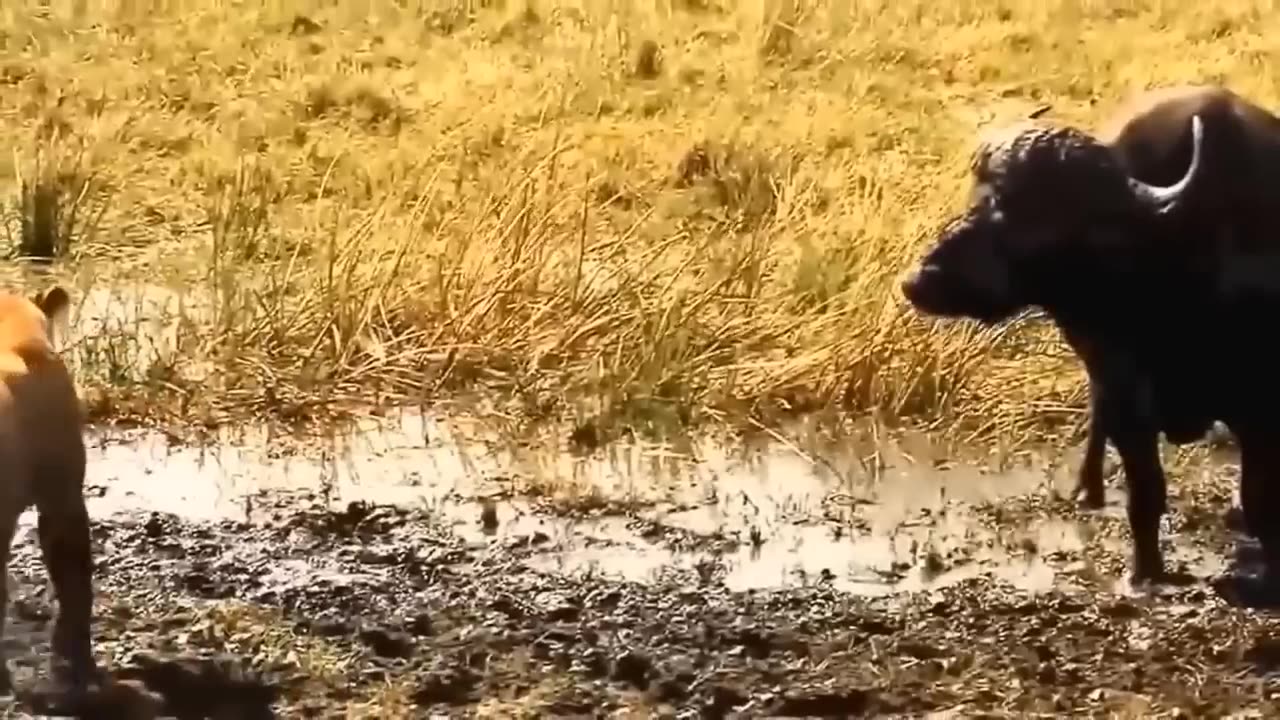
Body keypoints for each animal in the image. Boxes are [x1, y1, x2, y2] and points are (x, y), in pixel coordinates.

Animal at [901, 90, 1280, 589]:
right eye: (978, 200)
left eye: (1026, 215)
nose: (919, 280)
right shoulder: (1124, 392)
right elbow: (1146, 490)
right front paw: (1145, 573)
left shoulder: (1259, 404)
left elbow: (1259, 498)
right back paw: (1089, 489)